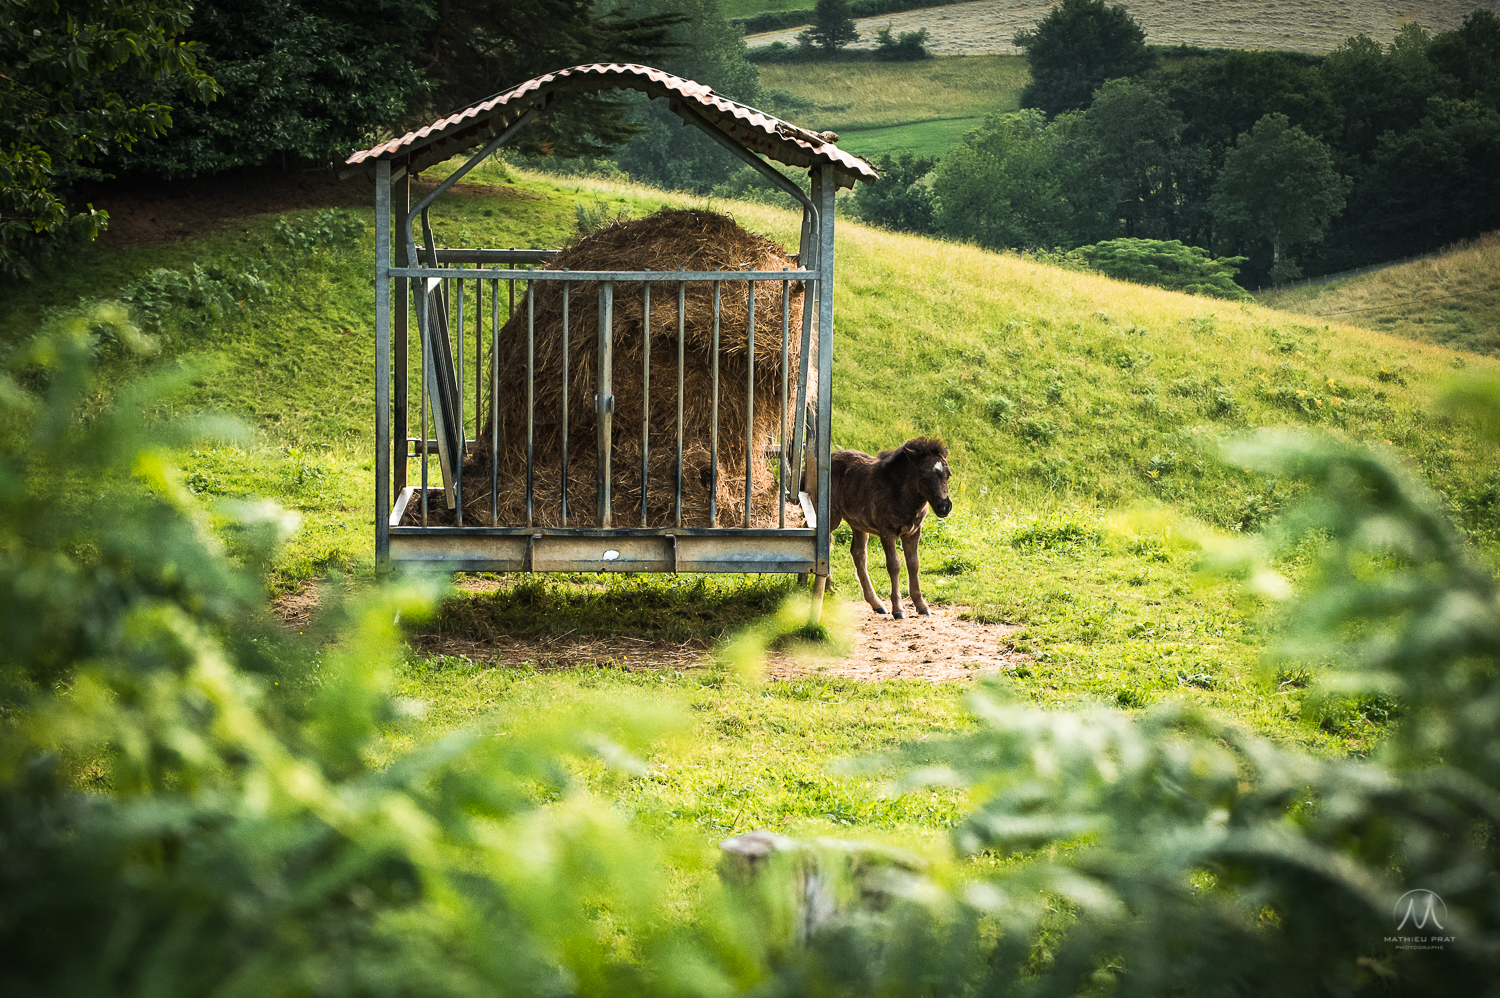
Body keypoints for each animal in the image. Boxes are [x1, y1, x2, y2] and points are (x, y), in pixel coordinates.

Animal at [828, 435, 954, 615]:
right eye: (924, 475)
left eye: (948, 474)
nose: (943, 506)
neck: (900, 493)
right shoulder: (887, 531)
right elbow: (894, 564)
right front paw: (898, 609)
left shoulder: (913, 532)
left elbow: (913, 564)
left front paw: (921, 605)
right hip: (831, 517)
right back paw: (827, 589)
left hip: (858, 524)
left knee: (858, 554)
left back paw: (876, 603)